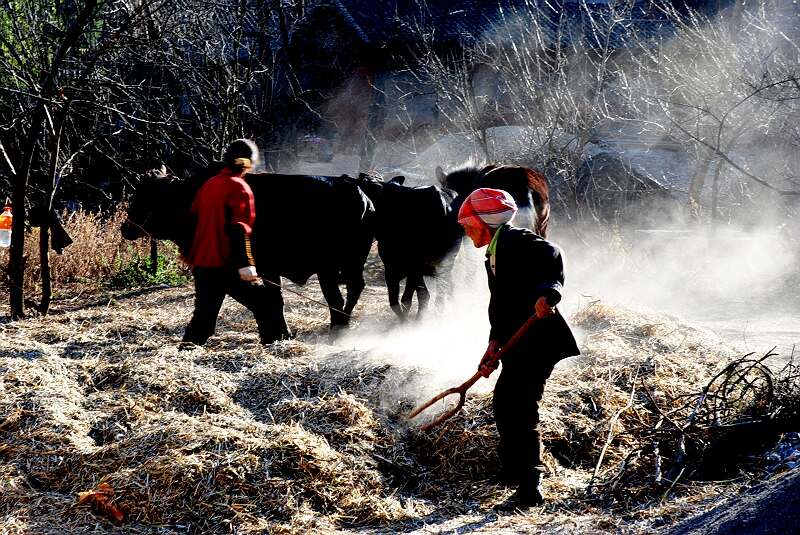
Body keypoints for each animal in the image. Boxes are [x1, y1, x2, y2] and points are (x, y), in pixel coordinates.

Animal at [120, 163, 376, 332]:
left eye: (144, 195)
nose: (125, 227)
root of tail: (359, 192)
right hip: (344, 267)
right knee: (349, 292)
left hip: (332, 268)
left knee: (341, 297)